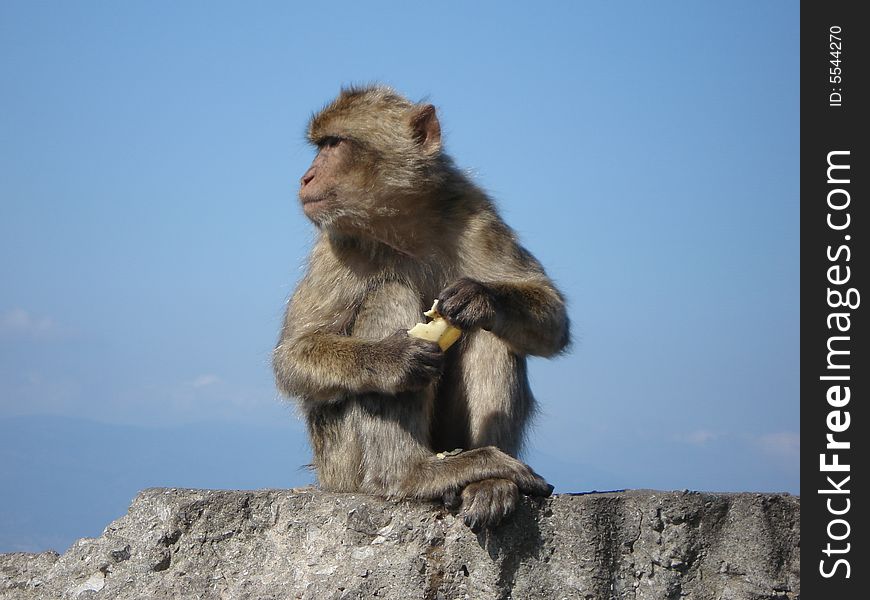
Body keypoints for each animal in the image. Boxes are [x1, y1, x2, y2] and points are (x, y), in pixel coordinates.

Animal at [274, 85, 572, 528]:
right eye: (322, 145)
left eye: (334, 144)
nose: (306, 177)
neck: (403, 224)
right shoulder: (337, 245)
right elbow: (292, 356)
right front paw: (393, 358)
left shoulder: (476, 215)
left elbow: (552, 317)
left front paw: (480, 297)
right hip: (340, 462)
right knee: (390, 293)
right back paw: (413, 473)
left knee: (494, 336)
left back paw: (489, 481)